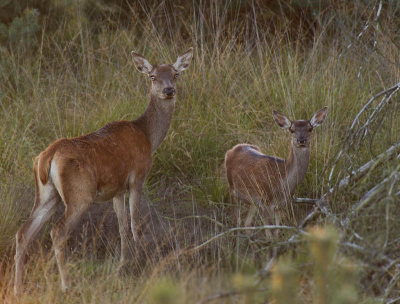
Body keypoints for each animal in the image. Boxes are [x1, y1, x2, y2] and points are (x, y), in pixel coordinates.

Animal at [15, 47, 195, 292]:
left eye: (176, 74)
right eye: (152, 76)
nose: (169, 90)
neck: (148, 136)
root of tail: (47, 156)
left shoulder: (117, 189)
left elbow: (122, 227)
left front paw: (122, 265)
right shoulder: (138, 178)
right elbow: (135, 224)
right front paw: (139, 263)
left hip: (47, 194)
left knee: (24, 232)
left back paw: (17, 288)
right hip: (80, 194)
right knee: (57, 231)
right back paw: (66, 285)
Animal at [225, 107, 328, 235]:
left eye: (310, 129)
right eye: (291, 130)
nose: (301, 140)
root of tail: (231, 150)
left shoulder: (281, 205)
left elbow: (278, 231)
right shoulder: (266, 203)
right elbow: (270, 234)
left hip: (252, 200)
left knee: (246, 223)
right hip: (233, 190)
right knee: (236, 222)